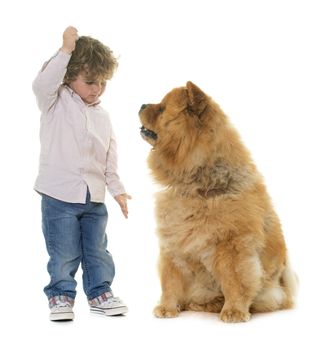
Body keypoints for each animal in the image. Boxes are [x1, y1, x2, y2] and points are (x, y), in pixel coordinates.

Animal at [139, 82, 298, 322]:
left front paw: (234, 312)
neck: (196, 183)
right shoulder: (175, 240)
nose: (141, 104)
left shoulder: (231, 244)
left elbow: (235, 282)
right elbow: (170, 280)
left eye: (162, 108)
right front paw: (167, 308)